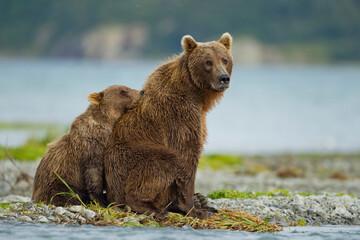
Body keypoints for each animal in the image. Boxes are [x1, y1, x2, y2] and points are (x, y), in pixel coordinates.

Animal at [104, 32, 233, 218]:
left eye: (224, 60)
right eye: (208, 62)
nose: (223, 78)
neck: (196, 94)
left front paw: (203, 205)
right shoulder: (181, 117)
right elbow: (186, 156)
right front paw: (195, 209)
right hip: (128, 159)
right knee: (163, 162)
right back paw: (151, 207)